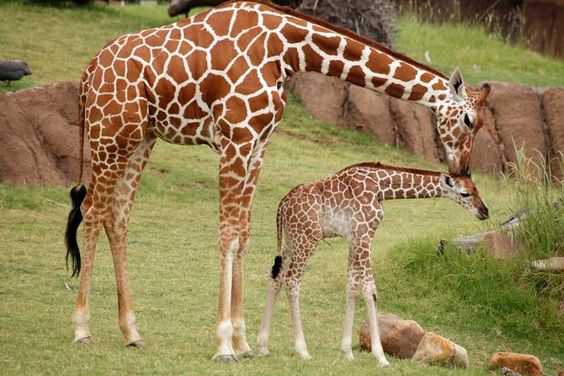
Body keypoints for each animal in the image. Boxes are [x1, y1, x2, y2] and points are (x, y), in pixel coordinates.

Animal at [258, 161, 486, 364]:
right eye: (465, 193)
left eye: (477, 189)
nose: (484, 211)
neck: (380, 188)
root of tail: (283, 205)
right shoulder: (365, 235)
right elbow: (370, 290)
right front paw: (380, 356)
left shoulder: (354, 239)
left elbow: (351, 286)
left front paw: (347, 352)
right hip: (307, 239)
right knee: (292, 281)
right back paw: (302, 350)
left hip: (292, 239)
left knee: (276, 275)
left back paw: (263, 346)